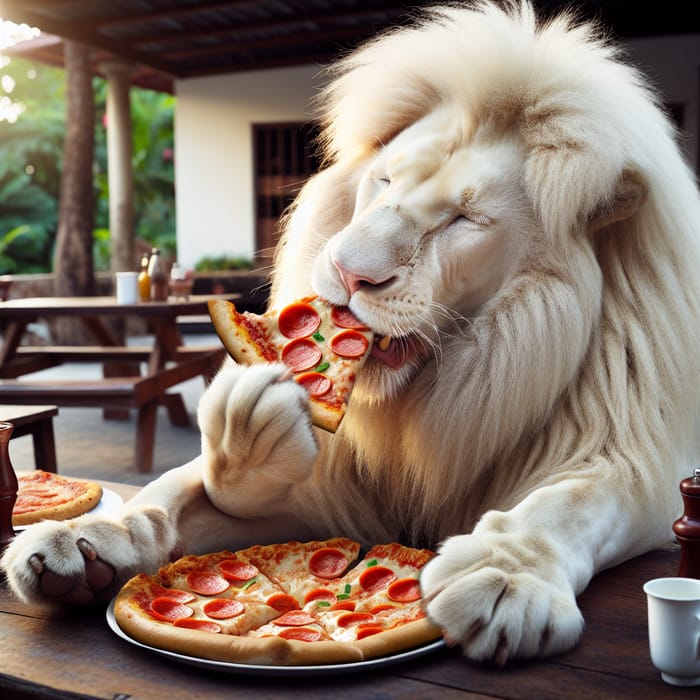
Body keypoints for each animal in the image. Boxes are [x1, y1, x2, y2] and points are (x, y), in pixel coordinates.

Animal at [1, 0, 700, 664]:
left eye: (465, 219)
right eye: (385, 180)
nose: (346, 270)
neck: (444, 393)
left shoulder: (637, 458)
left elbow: (573, 500)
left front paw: (505, 579)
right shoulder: (331, 497)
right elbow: (172, 494)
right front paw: (86, 540)